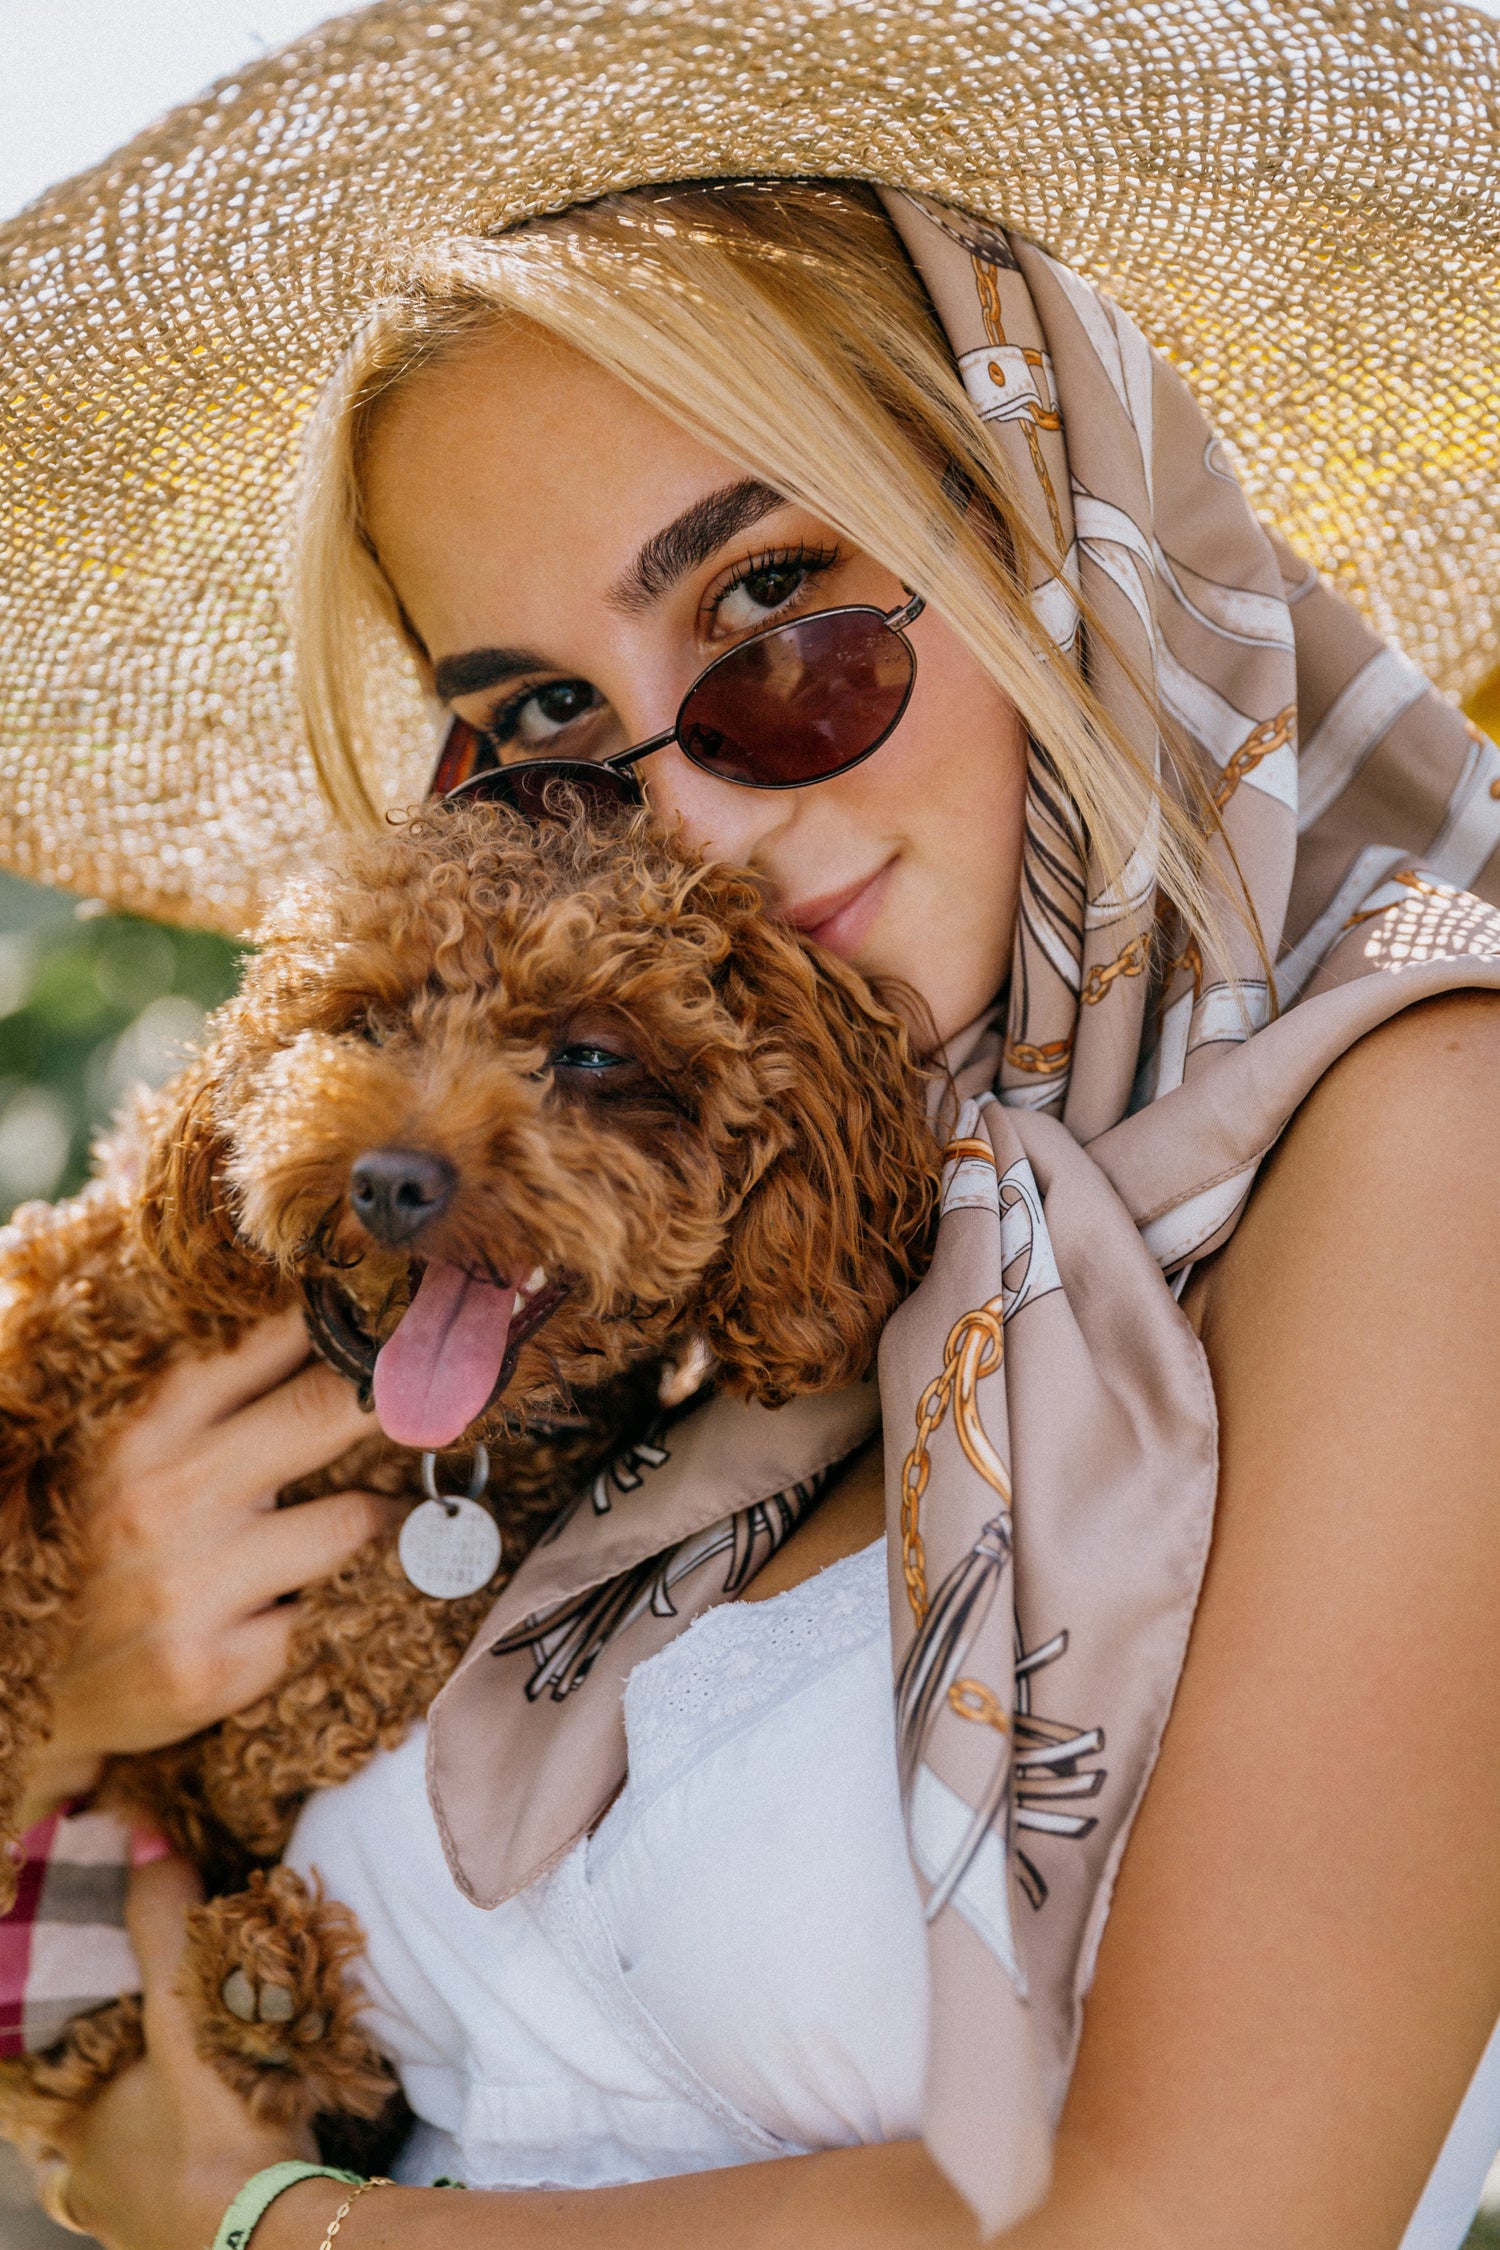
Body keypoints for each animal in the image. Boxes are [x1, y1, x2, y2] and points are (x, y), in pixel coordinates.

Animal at [0, 805, 940, 2160]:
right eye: (364, 1021)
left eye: (593, 1054)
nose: (389, 1181)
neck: (381, 1406)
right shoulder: (66, 1298)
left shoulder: (501, 1513)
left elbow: (386, 1625)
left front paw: (282, 1725)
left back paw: (265, 1996)